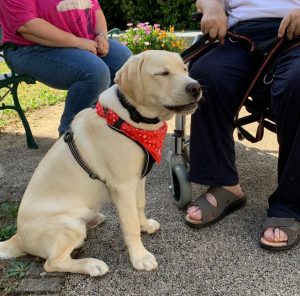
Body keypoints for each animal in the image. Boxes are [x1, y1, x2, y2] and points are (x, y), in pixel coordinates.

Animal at [0, 50, 202, 276]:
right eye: (162, 73)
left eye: (184, 69)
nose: (196, 87)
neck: (132, 117)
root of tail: (18, 238)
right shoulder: (122, 187)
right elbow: (130, 224)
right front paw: (140, 257)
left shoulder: (138, 180)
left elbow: (139, 206)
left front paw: (145, 226)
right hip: (69, 224)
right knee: (52, 263)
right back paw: (92, 265)